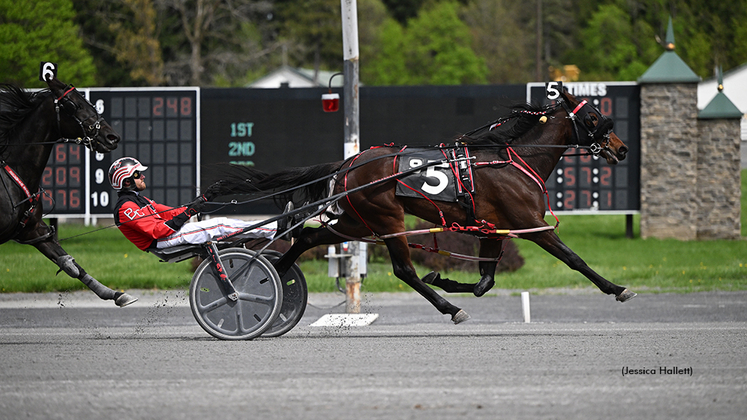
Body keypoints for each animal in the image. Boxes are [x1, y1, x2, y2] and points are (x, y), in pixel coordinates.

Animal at [0, 77, 138, 306]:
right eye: (75, 104)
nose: (112, 137)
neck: (14, 174)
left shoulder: (34, 229)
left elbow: (69, 264)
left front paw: (115, 293)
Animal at [216, 90, 636, 324]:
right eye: (593, 117)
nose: (621, 149)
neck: (515, 159)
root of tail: (349, 162)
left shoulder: (492, 229)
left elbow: (485, 282)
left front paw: (445, 278)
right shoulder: (529, 223)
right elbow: (574, 259)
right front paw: (617, 288)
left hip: (357, 221)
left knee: (307, 236)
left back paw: (275, 275)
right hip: (387, 218)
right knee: (403, 270)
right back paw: (449, 308)